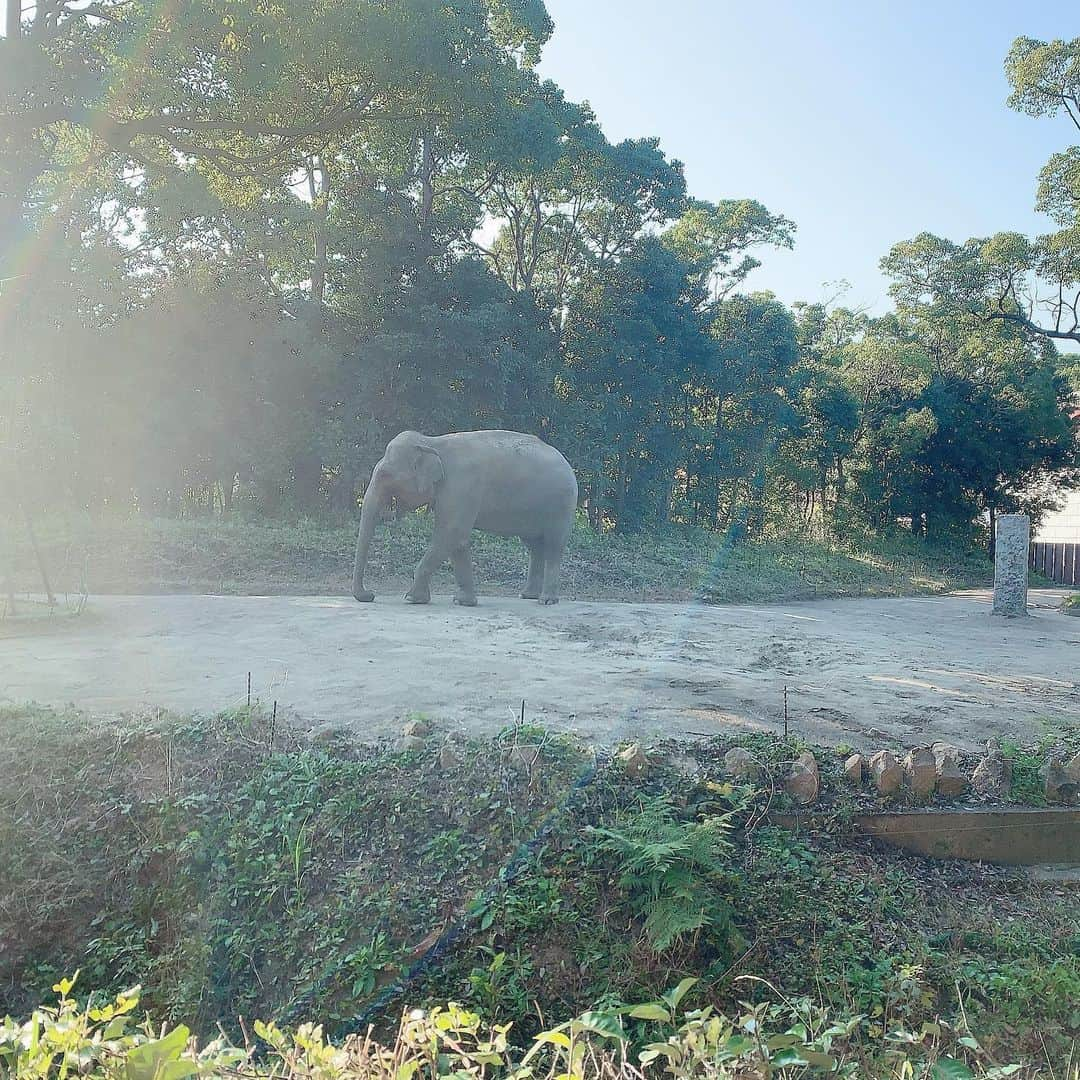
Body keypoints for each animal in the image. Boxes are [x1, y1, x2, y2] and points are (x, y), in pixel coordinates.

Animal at [349, 425, 578, 604]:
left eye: (385, 475)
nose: (370, 595)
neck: (431, 442)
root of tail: (567, 463)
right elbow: (457, 541)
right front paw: (463, 601)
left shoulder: (461, 485)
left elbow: (451, 533)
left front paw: (412, 598)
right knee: (534, 546)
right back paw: (527, 596)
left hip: (562, 505)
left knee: (553, 546)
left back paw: (546, 600)